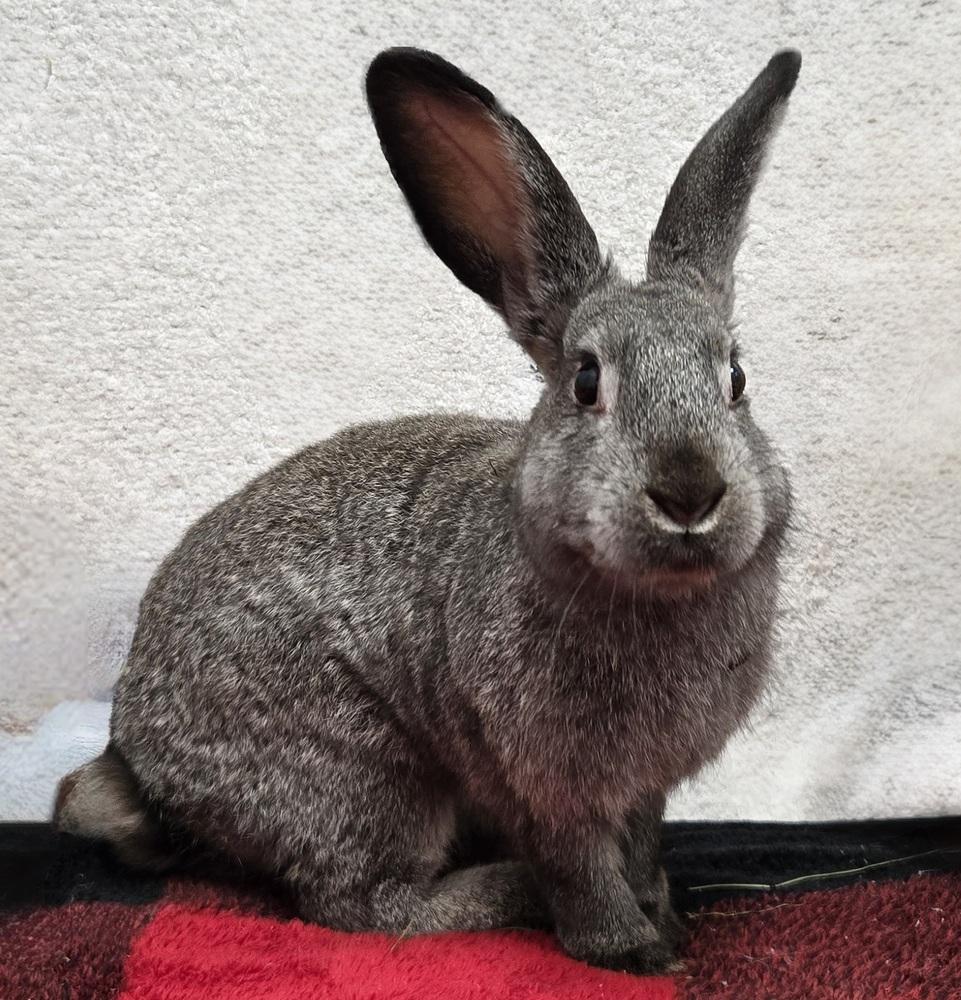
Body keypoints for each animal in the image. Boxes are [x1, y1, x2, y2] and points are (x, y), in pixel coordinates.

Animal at [55, 46, 800, 974]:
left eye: (735, 378)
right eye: (586, 381)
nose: (689, 492)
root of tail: (136, 761)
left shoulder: (643, 791)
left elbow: (641, 850)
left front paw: (663, 918)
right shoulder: (544, 782)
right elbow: (580, 868)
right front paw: (631, 948)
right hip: (366, 772)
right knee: (362, 905)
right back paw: (506, 890)